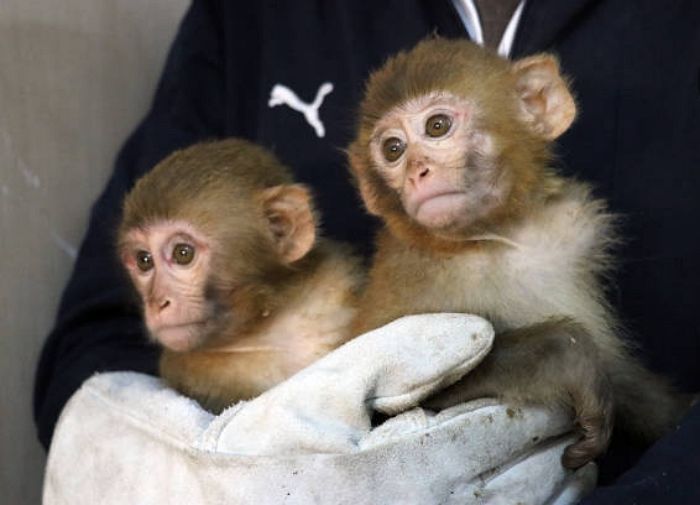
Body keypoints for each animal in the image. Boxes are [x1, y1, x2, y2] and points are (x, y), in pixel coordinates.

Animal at [348, 40, 688, 468]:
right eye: (394, 149)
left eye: (437, 126)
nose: (416, 171)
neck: (494, 237)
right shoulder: (409, 283)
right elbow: (389, 406)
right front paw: (569, 356)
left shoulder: (570, 227)